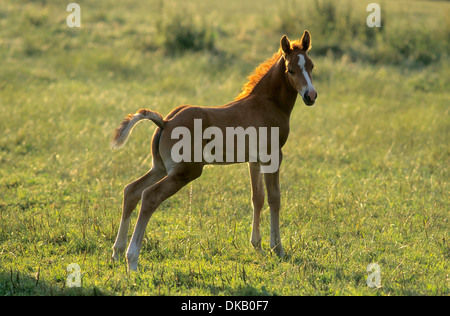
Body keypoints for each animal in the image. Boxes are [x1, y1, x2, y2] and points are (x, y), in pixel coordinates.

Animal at [111, 30, 316, 270]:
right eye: (290, 70)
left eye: (311, 66)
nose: (311, 96)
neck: (267, 103)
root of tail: (166, 121)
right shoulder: (272, 156)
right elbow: (275, 198)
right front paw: (278, 249)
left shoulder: (254, 159)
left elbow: (257, 197)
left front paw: (257, 245)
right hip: (186, 171)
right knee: (149, 197)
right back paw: (132, 259)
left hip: (161, 168)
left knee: (131, 191)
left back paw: (117, 252)